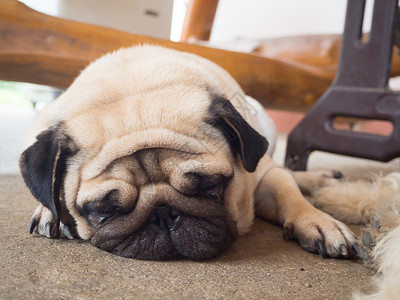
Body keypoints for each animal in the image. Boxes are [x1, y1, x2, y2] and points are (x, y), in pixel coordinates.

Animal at [18, 45, 358, 260]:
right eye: (105, 210)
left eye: (209, 186)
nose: (162, 213)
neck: (133, 89)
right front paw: (50, 211)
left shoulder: (263, 175)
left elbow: (289, 194)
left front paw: (317, 220)